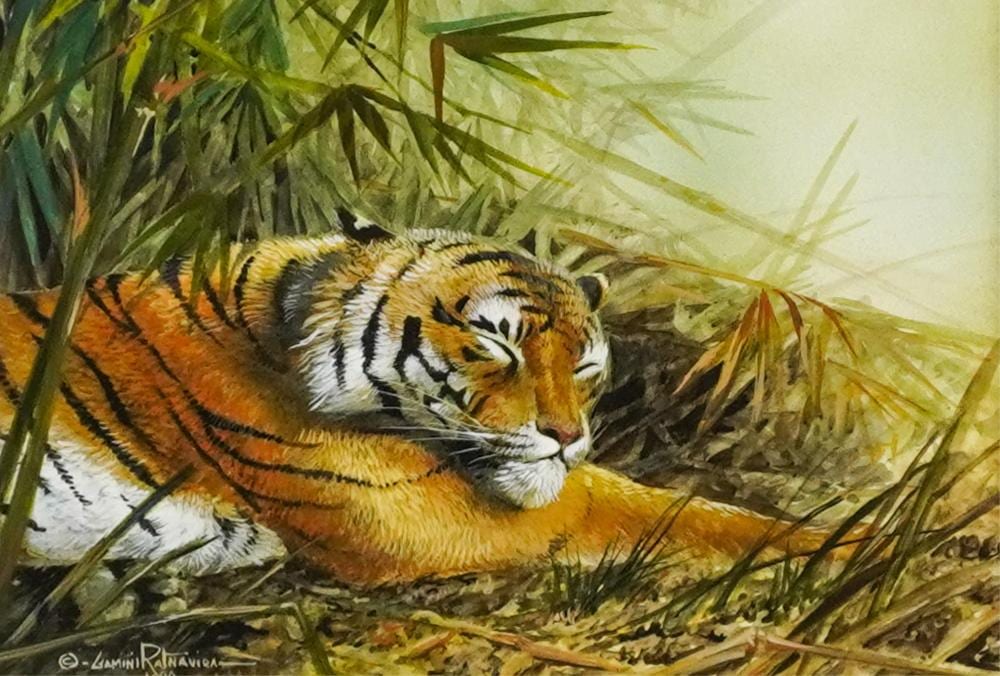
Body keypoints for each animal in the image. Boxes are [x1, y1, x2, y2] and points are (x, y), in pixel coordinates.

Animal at [0, 212, 851, 585]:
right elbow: (650, 509)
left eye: (584, 365)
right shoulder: (406, 512)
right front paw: (853, 544)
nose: (567, 436)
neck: (280, 332)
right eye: (498, 344)